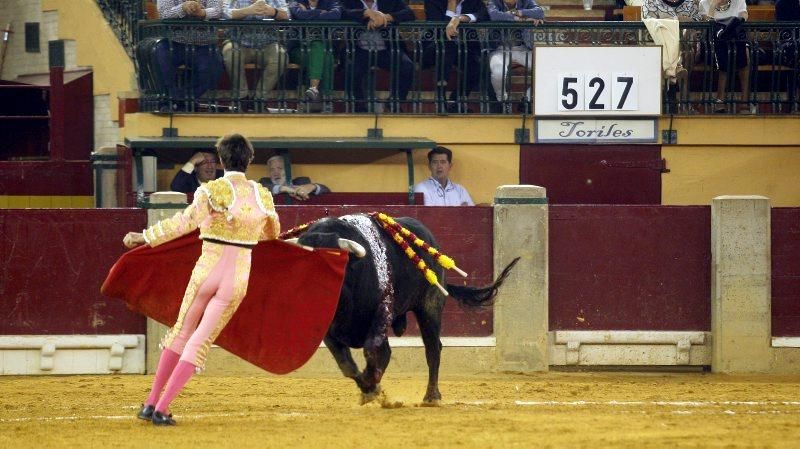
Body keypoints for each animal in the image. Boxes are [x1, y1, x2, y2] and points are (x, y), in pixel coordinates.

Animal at [294, 214, 520, 402]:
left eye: (334, 260)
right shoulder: (328, 331)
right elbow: (347, 365)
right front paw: (368, 389)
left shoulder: (381, 315)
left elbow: (371, 351)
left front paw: (371, 385)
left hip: (429, 308)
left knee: (432, 349)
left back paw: (431, 396)